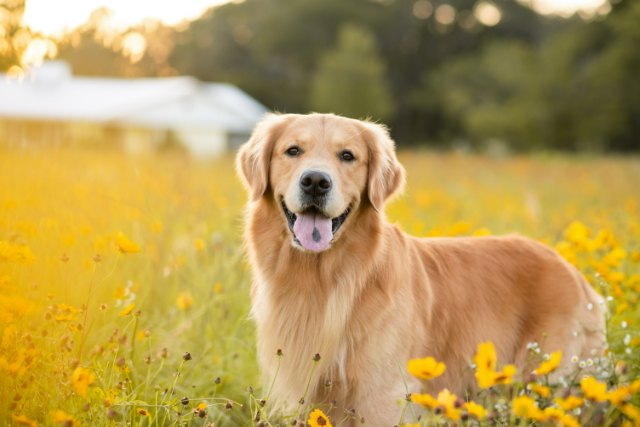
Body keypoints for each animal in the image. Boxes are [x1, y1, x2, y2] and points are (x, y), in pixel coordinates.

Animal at [238, 113, 608, 424]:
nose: (316, 181)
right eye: (293, 150)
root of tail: (573, 271)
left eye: (347, 156)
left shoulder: (384, 394)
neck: (326, 279)